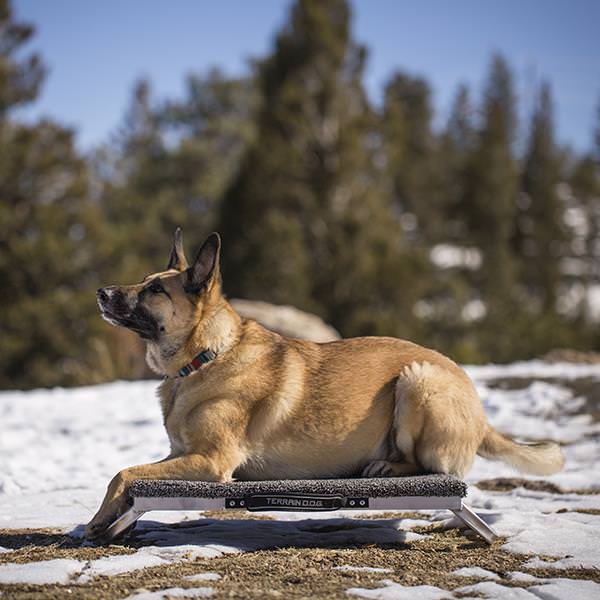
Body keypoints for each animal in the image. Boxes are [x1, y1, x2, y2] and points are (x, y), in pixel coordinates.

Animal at [86, 230, 564, 540]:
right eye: (143, 282)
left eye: (154, 291)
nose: (101, 292)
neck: (206, 356)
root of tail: (480, 410)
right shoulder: (180, 455)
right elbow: (127, 474)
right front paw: (102, 517)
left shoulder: (211, 463)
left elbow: (123, 472)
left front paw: (96, 519)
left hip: (418, 379)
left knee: (431, 467)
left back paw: (387, 467)